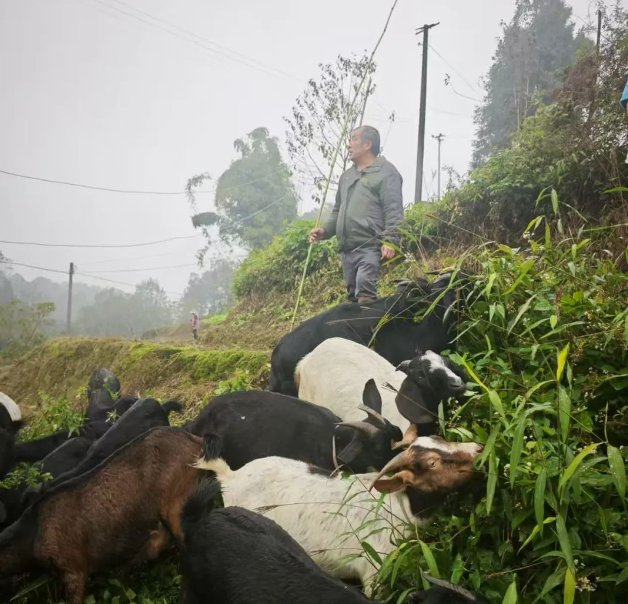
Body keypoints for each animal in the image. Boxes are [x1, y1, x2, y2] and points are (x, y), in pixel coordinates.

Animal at [199, 434, 484, 596]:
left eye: (441, 439)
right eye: (431, 463)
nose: (479, 449)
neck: (400, 505)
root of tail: (230, 477)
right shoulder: (374, 574)